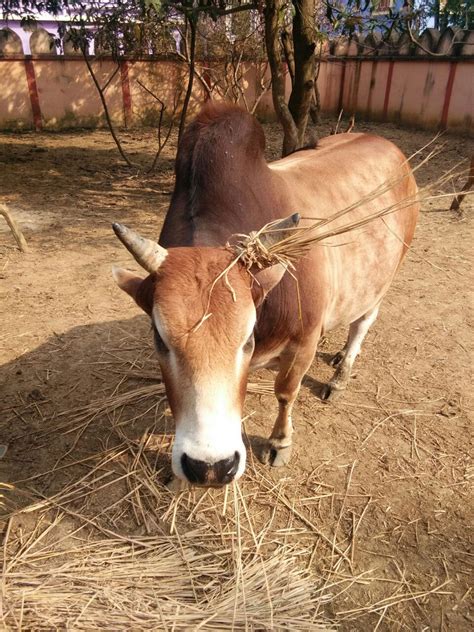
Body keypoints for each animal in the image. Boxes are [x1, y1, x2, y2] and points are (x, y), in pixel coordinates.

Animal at [112, 102, 418, 488]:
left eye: (247, 339)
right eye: (160, 341)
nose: (211, 467)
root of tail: (391, 148)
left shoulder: (302, 342)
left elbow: (286, 392)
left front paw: (279, 442)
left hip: (383, 280)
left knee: (362, 323)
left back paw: (341, 373)